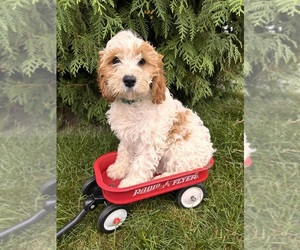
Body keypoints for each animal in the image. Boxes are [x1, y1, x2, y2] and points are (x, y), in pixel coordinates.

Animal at [98, 30, 216, 188]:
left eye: (142, 61)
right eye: (115, 60)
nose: (129, 80)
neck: (133, 103)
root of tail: (208, 155)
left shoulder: (150, 141)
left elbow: (141, 163)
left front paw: (131, 183)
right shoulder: (127, 136)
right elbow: (124, 152)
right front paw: (119, 169)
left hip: (178, 148)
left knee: (184, 170)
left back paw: (163, 180)